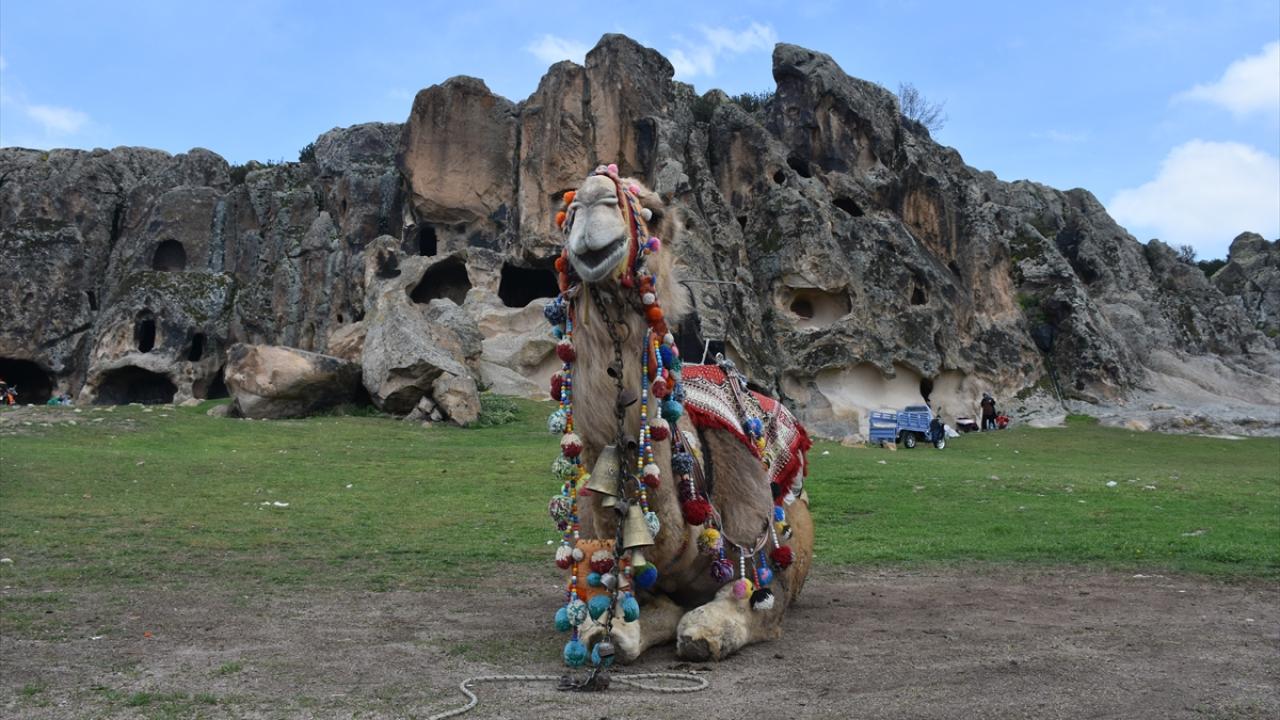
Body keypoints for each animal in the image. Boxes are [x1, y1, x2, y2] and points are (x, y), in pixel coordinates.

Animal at [544, 163, 814, 667]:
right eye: (566, 214)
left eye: (653, 212)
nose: (591, 200)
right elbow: (630, 615)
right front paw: (607, 632)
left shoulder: (766, 559)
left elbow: (731, 611)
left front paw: (705, 631)